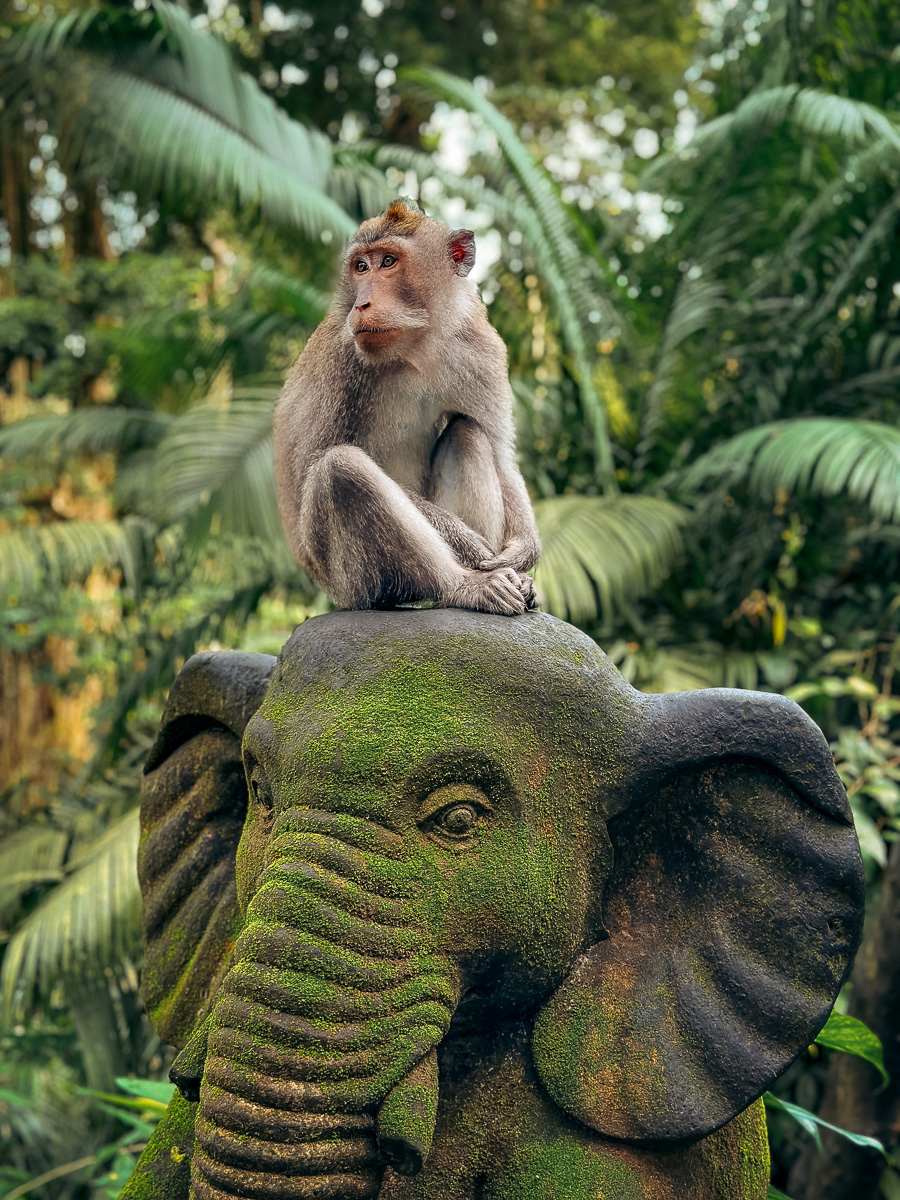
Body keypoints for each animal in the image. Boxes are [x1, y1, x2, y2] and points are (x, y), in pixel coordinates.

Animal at [274, 200, 540, 614]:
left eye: (388, 261)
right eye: (361, 266)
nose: (361, 303)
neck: (415, 348)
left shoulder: (480, 349)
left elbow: (502, 456)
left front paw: (524, 549)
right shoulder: (341, 360)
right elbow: (308, 471)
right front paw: (465, 541)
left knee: (468, 431)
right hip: (352, 582)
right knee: (341, 469)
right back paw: (465, 585)